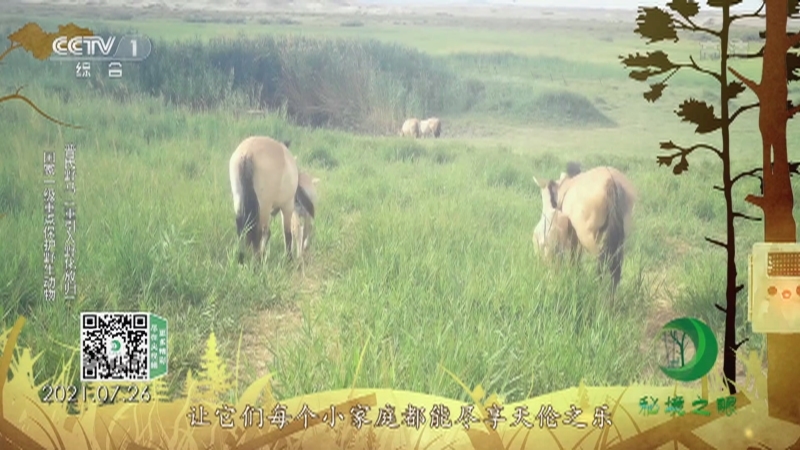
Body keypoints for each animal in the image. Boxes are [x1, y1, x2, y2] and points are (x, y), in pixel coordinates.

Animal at [533, 162, 637, 291]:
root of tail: (610, 180)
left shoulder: (574, 235)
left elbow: (574, 258)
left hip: (587, 235)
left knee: (601, 261)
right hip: (619, 236)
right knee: (615, 267)